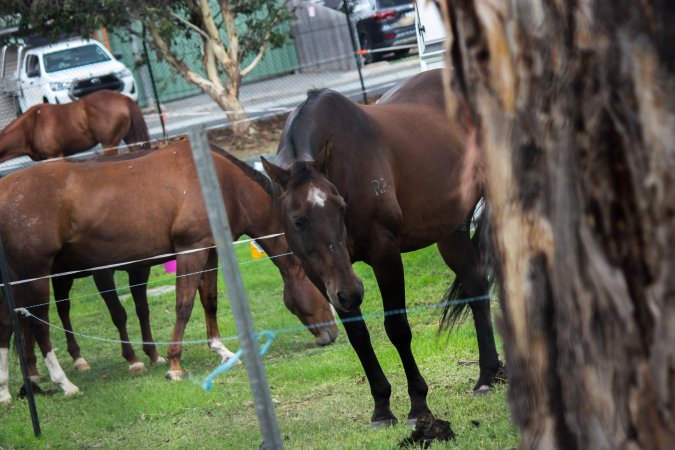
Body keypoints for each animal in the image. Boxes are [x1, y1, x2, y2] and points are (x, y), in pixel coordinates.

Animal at [0, 139, 338, 404]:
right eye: (319, 283)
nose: (332, 334)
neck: (221, 184)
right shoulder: (190, 250)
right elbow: (184, 305)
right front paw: (174, 364)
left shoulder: (209, 250)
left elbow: (209, 300)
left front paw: (221, 349)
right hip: (36, 275)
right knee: (39, 325)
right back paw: (63, 383)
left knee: (11, 324)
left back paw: (9, 389)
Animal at [261, 68, 502, 428]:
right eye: (298, 220)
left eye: (341, 207)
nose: (350, 292)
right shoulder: (321, 274)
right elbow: (359, 336)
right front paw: (382, 407)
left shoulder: (384, 254)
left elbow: (397, 328)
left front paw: (418, 404)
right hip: (451, 231)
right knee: (475, 288)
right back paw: (488, 375)